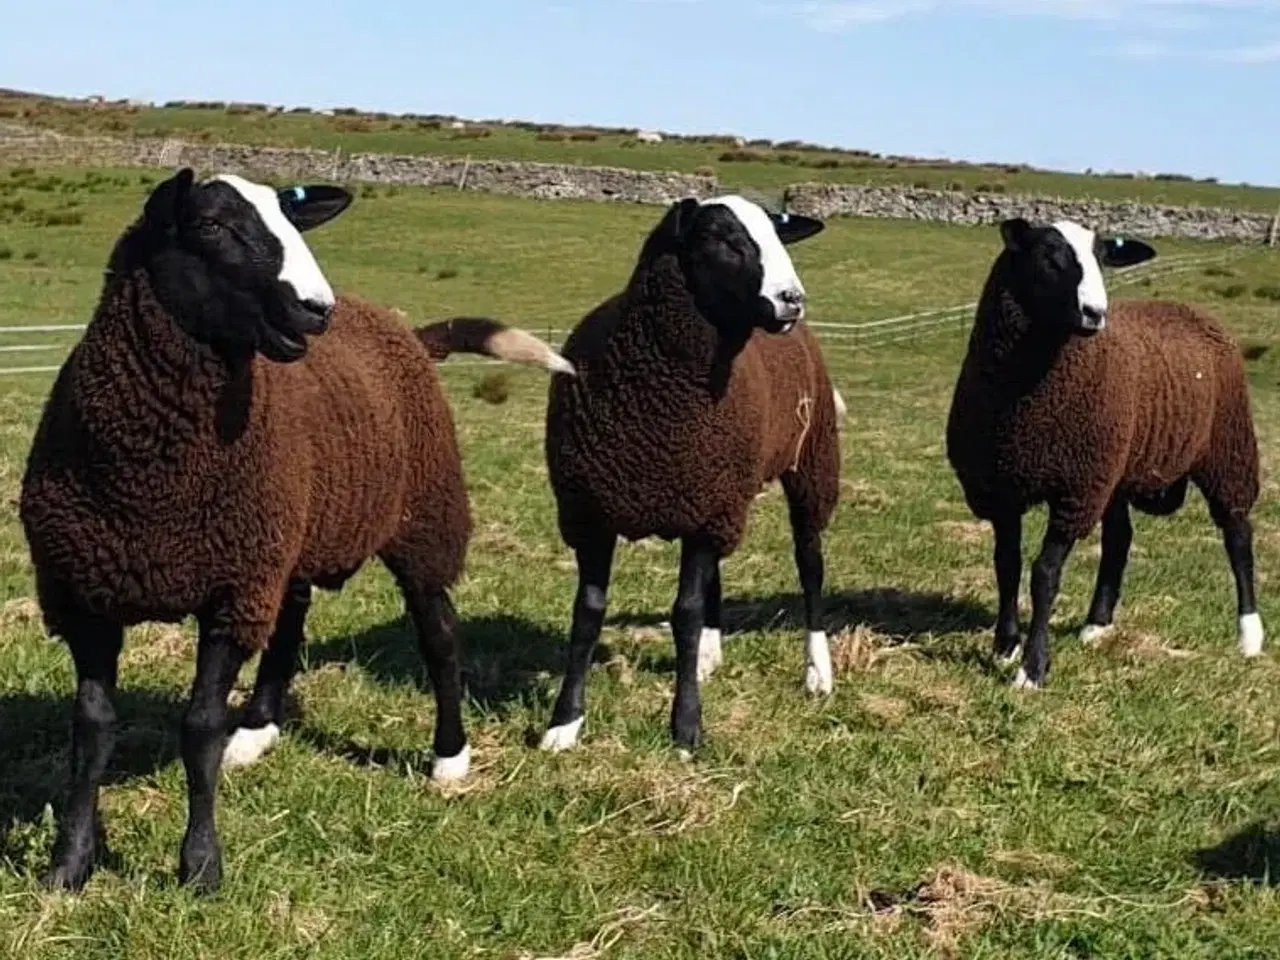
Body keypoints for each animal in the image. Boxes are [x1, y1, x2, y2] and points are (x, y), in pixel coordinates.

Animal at [17, 168, 570, 901]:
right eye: (213, 227)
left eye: (291, 222)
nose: (315, 310)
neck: (153, 476)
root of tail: (406, 330)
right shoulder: (85, 593)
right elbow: (92, 729)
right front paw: (70, 864)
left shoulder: (231, 592)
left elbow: (198, 727)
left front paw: (201, 868)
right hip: (291, 538)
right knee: (291, 622)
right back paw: (256, 732)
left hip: (422, 521)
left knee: (440, 636)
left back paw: (449, 757)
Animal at [540, 193, 839, 752]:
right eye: (720, 237)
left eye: (777, 234)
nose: (792, 300)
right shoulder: (593, 513)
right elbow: (587, 612)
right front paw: (563, 724)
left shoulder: (703, 512)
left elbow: (685, 612)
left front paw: (685, 727)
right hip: (724, 493)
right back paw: (708, 656)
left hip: (809, 468)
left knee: (810, 568)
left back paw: (818, 671)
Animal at [947, 216, 1264, 691]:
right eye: (1049, 256)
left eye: (1102, 259)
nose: (1095, 313)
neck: (1024, 405)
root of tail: (1190, 309)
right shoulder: (1002, 488)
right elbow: (1007, 564)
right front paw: (1005, 647)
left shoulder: (1074, 492)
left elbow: (1044, 575)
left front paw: (1033, 669)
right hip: (1116, 468)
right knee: (1120, 538)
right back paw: (1097, 625)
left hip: (1227, 449)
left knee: (1237, 535)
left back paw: (1249, 634)